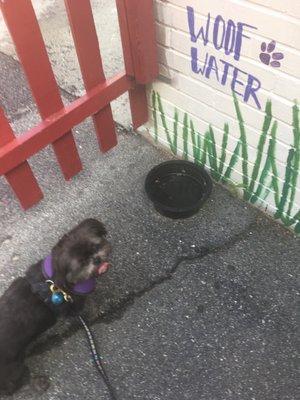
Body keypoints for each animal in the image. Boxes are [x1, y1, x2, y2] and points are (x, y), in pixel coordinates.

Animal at [0, 220, 111, 396]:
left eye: (95, 246)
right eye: (82, 263)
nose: (97, 260)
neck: (52, 278)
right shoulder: (75, 305)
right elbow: (90, 305)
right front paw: (97, 310)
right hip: (13, 369)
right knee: (16, 385)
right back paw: (39, 383)